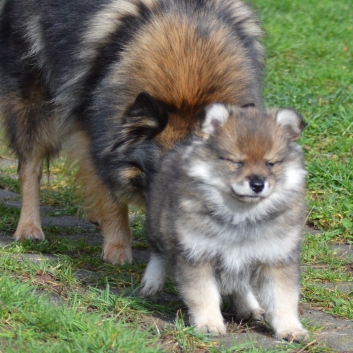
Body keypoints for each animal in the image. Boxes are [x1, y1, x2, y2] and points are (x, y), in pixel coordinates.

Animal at [142, 104, 306, 340]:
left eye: (270, 163)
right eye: (237, 162)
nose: (258, 184)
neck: (242, 215)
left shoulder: (276, 258)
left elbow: (283, 298)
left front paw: (290, 329)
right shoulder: (197, 255)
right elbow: (203, 295)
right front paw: (209, 324)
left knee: (240, 285)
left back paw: (248, 307)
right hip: (158, 222)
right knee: (159, 252)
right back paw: (152, 282)